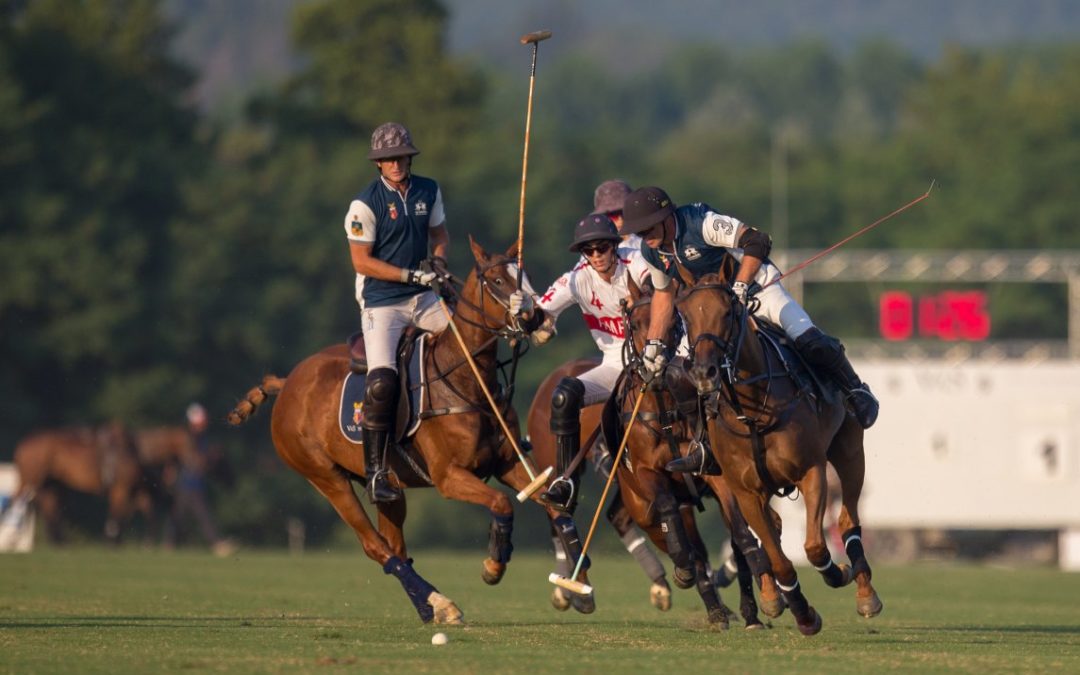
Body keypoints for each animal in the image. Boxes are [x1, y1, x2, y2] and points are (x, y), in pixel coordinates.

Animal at [226, 238, 591, 626]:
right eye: (496, 280)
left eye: (527, 274)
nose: (536, 319)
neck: (466, 380)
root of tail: (287, 382)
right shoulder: (448, 476)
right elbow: (502, 502)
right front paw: (494, 565)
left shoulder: (508, 464)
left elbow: (557, 509)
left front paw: (579, 581)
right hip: (325, 476)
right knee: (375, 546)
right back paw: (440, 602)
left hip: (388, 485)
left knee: (395, 545)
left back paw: (431, 606)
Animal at [678, 271, 881, 635]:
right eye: (685, 316)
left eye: (728, 313)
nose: (703, 373)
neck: (752, 410)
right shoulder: (745, 490)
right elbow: (777, 557)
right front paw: (802, 613)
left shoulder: (811, 471)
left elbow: (815, 548)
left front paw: (836, 573)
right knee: (770, 528)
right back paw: (773, 597)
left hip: (849, 449)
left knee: (847, 518)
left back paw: (865, 593)